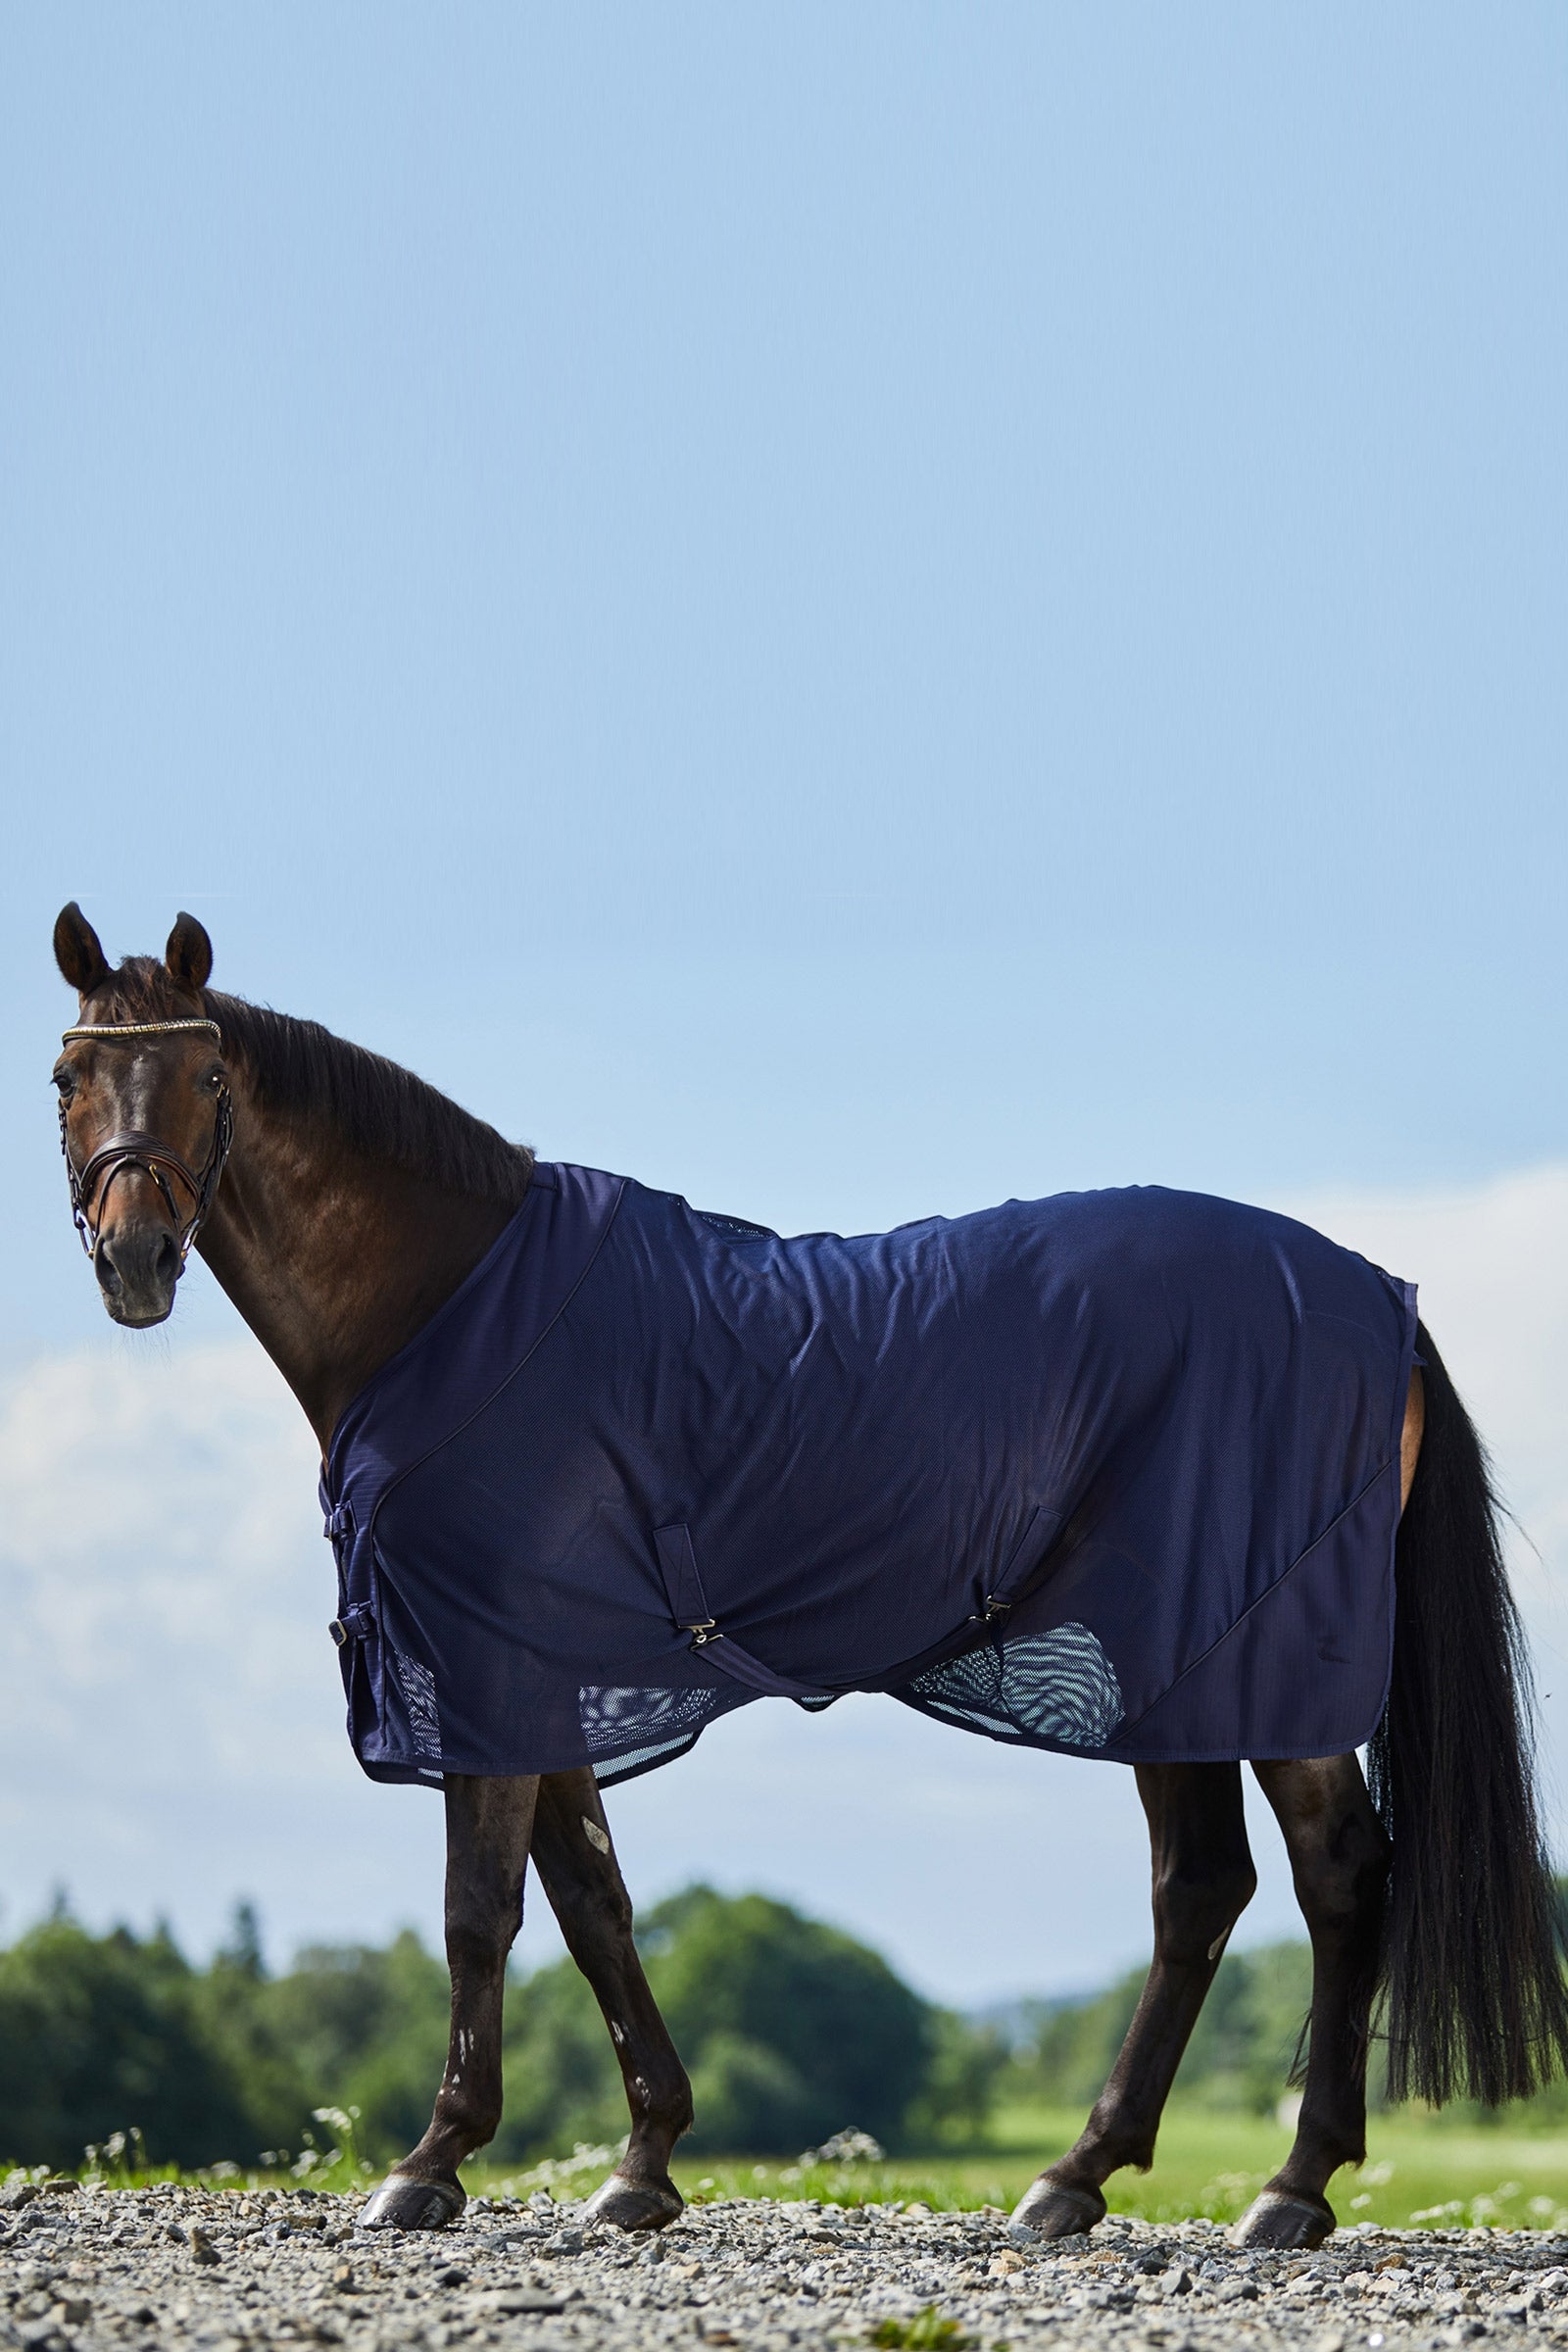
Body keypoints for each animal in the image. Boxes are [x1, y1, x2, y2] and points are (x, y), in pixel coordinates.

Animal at [48, 903, 1568, 2250]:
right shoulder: (544, 1684)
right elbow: (593, 1905)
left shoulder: (482, 1671)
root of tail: (1376, 1295)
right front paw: (643, 2162)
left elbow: (479, 1916)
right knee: (1201, 1891)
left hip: (1248, 1657)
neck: (452, 1306)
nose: (133, 1262)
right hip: (1171, 1667)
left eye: (206, 1077)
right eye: (70, 1076)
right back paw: (1080, 2178)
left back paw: (1287, 2190)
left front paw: (430, 2164)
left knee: (1336, 1881)